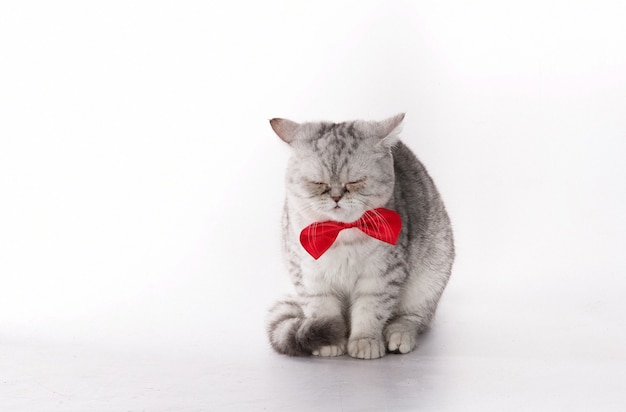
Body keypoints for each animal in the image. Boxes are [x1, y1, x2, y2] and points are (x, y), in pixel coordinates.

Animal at [264, 112, 454, 358]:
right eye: (318, 183)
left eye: (355, 181)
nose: (336, 196)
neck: (341, 235)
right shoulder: (309, 276)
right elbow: (323, 312)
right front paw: (329, 342)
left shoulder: (381, 274)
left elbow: (370, 311)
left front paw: (365, 342)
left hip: (430, 277)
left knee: (414, 319)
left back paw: (399, 336)